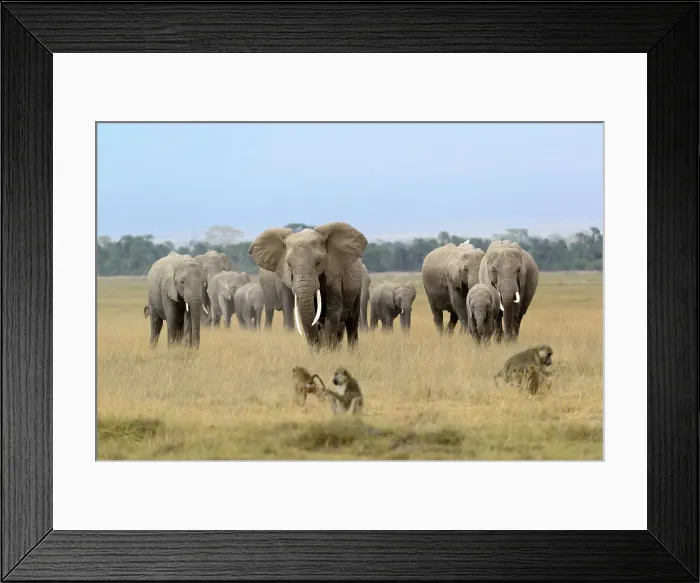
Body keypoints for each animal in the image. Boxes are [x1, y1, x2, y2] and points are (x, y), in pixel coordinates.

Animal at [248, 222, 368, 350]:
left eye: (318, 263)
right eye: (289, 264)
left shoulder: (333, 276)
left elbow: (332, 313)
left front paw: (328, 352)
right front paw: (319, 352)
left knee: (352, 321)